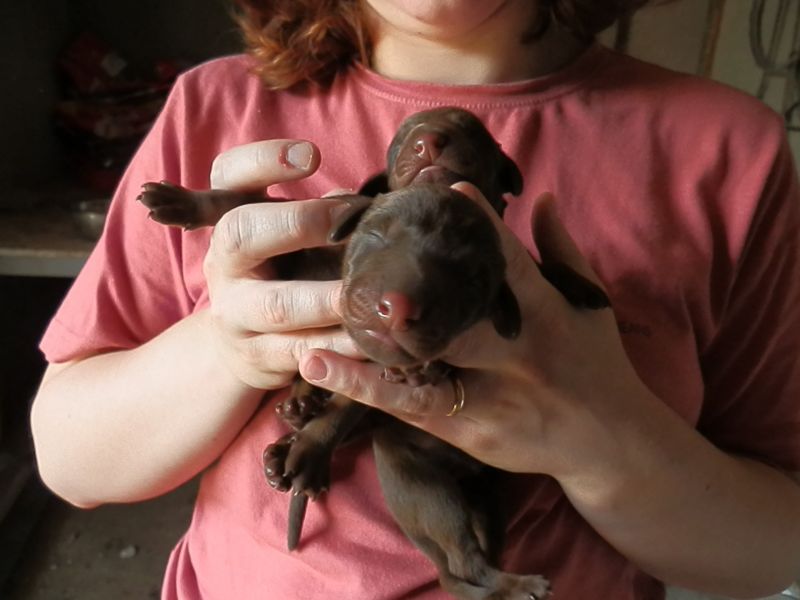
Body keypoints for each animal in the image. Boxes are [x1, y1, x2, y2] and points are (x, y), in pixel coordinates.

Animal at [138, 108, 608, 600]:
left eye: (476, 134)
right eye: (400, 138)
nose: (429, 140)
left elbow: (351, 404)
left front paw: (578, 282)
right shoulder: (309, 249)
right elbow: (242, 204)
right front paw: (181, 200)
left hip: (449, 494)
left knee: (465, 559)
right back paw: (295, 420)